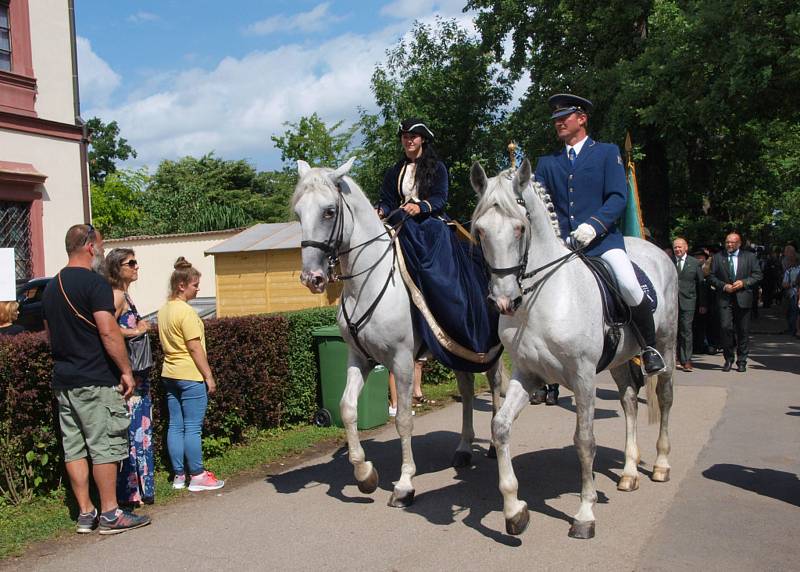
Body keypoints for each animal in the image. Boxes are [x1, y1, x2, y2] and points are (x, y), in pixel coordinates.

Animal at [294, 159, 506, 508]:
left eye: (328, 211)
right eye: (298, 213)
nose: (312, 278)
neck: (367, 281)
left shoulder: (403, 361)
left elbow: (403, 419)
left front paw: (405, 484)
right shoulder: (359, 358)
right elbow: (347, 408)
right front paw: (364, 475)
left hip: (488, 349)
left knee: (496, 385)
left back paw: (490, 445)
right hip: (455, 349)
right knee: (467, 390)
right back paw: (463, 448)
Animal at [468, 159, 676, 540]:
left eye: (520, 228)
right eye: (480, 231)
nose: (503, 301)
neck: (541, 299)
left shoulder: (582, 377)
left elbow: (585, 441)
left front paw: (585, 514)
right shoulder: (528, 374)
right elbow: (500, 427)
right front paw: (514, 510)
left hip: (666, 347)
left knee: (665, 397)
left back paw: (661, 465)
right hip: (620, 360)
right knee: (629, 400)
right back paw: (628, 472)